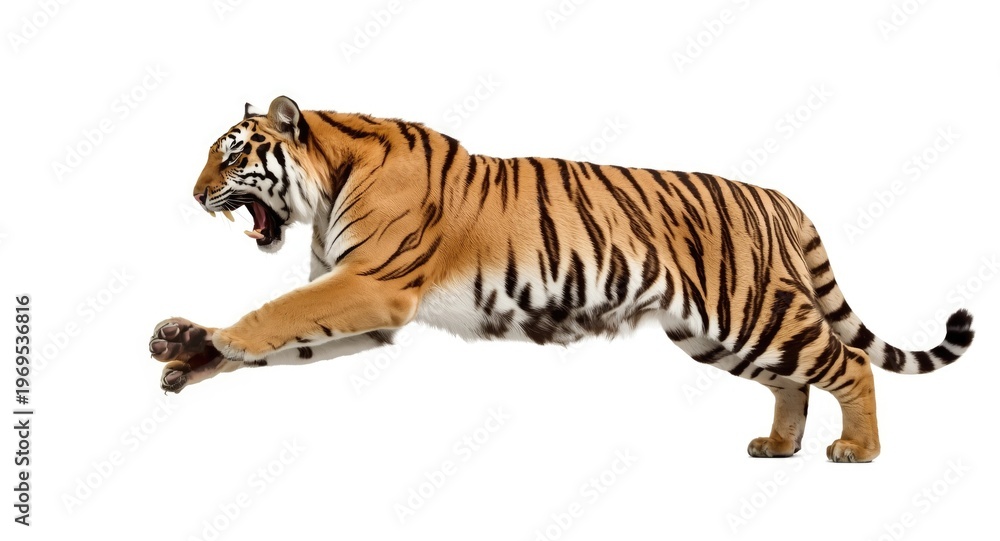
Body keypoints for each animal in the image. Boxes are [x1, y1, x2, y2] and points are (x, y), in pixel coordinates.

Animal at [149, 96, 975, 463]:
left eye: (231, 154)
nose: (193, 195)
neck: (326, 185)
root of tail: (775, 196)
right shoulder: (365, 305)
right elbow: (286, 336)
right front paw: (189, 349)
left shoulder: (371, 283)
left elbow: (273, 314)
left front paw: (214, 338)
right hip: (717, 333)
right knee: (794, 381)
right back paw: (778, 445)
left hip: (749, 310)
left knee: (850, 361)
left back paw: (857, 450)